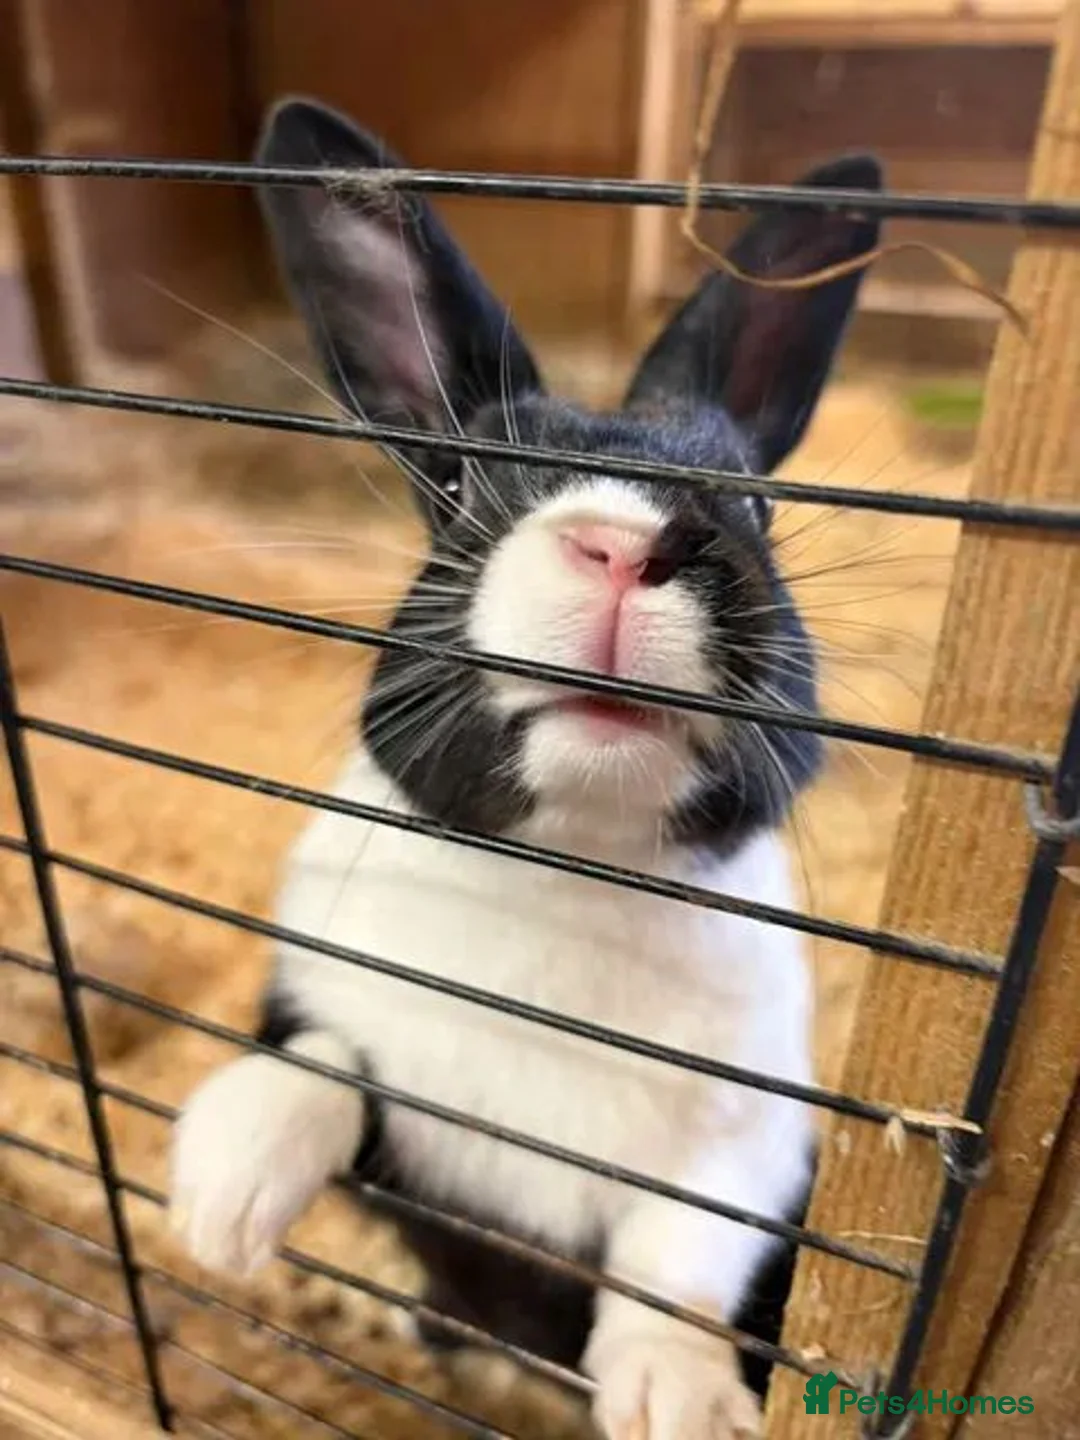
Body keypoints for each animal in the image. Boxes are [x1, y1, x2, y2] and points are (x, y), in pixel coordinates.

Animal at [170, 96, 882, 1440]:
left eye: (754, 507)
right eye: (456, 485)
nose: (624, 547)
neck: (572, 863)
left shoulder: (751, 1149)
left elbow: (674, 1262)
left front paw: (680, 1402)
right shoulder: (333, 1021)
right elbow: (320, 1065)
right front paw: (217, 1198)